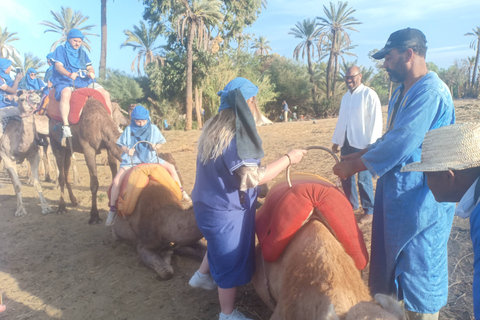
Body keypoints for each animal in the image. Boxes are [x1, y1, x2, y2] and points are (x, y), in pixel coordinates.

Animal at [49, 96, 123, 224]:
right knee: (61, 176)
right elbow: (94, 184)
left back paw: (73, 201)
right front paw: (94, 216)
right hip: (55, 143)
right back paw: (61, 208)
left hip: (68, 149)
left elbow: (115, 177)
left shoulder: (110, 147)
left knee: (66, 171)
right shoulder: (88, 149)